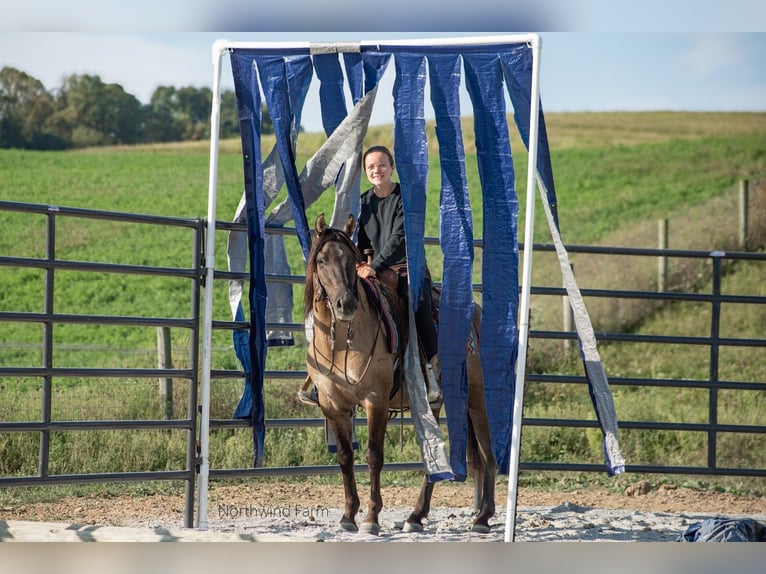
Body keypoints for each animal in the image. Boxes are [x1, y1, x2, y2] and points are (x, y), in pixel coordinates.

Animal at [306, 214, 498, 536]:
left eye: (352, 261)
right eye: (321, 260)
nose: (347, 304)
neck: (343, 341)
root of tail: (476, 313)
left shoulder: (376, 401)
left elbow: (373, 456)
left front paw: (371, 518)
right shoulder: (333, 406)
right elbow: (345, 457)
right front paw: (348, 515)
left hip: (476, 397)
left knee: (486, 452)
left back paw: (483, 517)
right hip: (434, 403)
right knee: (433, 456)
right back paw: (416, 516)